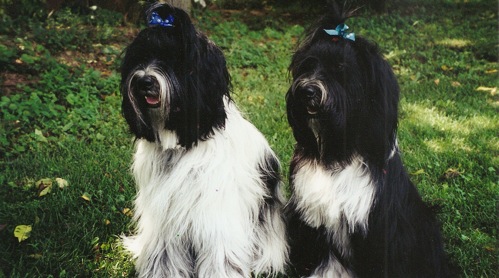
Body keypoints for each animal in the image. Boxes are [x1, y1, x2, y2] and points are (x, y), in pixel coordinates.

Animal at [118, 3, 288, 276]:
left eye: (174, 59)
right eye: (140, 57)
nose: (144, 81)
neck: (180, 143)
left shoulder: (216, 218)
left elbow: (221, 257)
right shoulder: (164, 219)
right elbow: (163, 255)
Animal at [286, 4, 454, 278]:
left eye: (340, 70)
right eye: (307, 66)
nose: (307, 91)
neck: (336, 152)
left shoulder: (378, 229)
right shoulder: (314, 220)